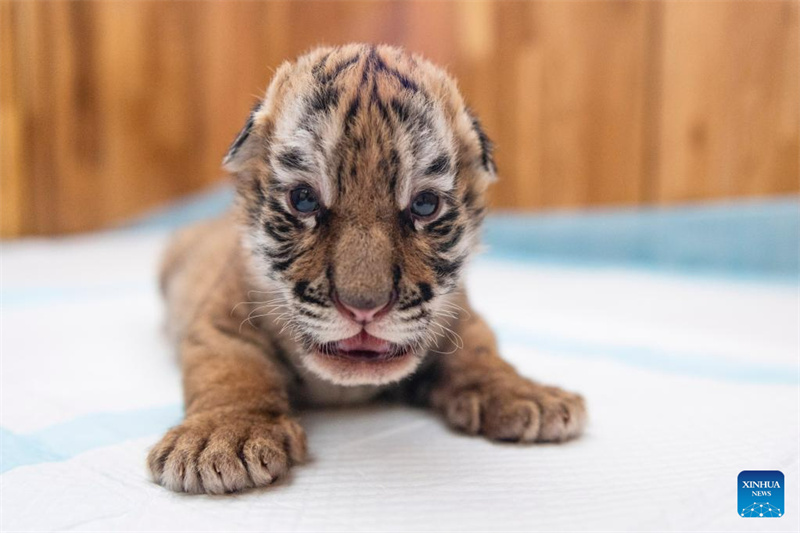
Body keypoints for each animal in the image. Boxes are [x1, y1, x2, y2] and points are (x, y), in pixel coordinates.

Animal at [147, 43, 587, 494]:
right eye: (303, 200)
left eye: (424, 205)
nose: (363, 308)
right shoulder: (220, 319)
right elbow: (231, 369)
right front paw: (219, 438)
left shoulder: (459, 315)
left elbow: (482, 353)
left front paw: (528, 396)